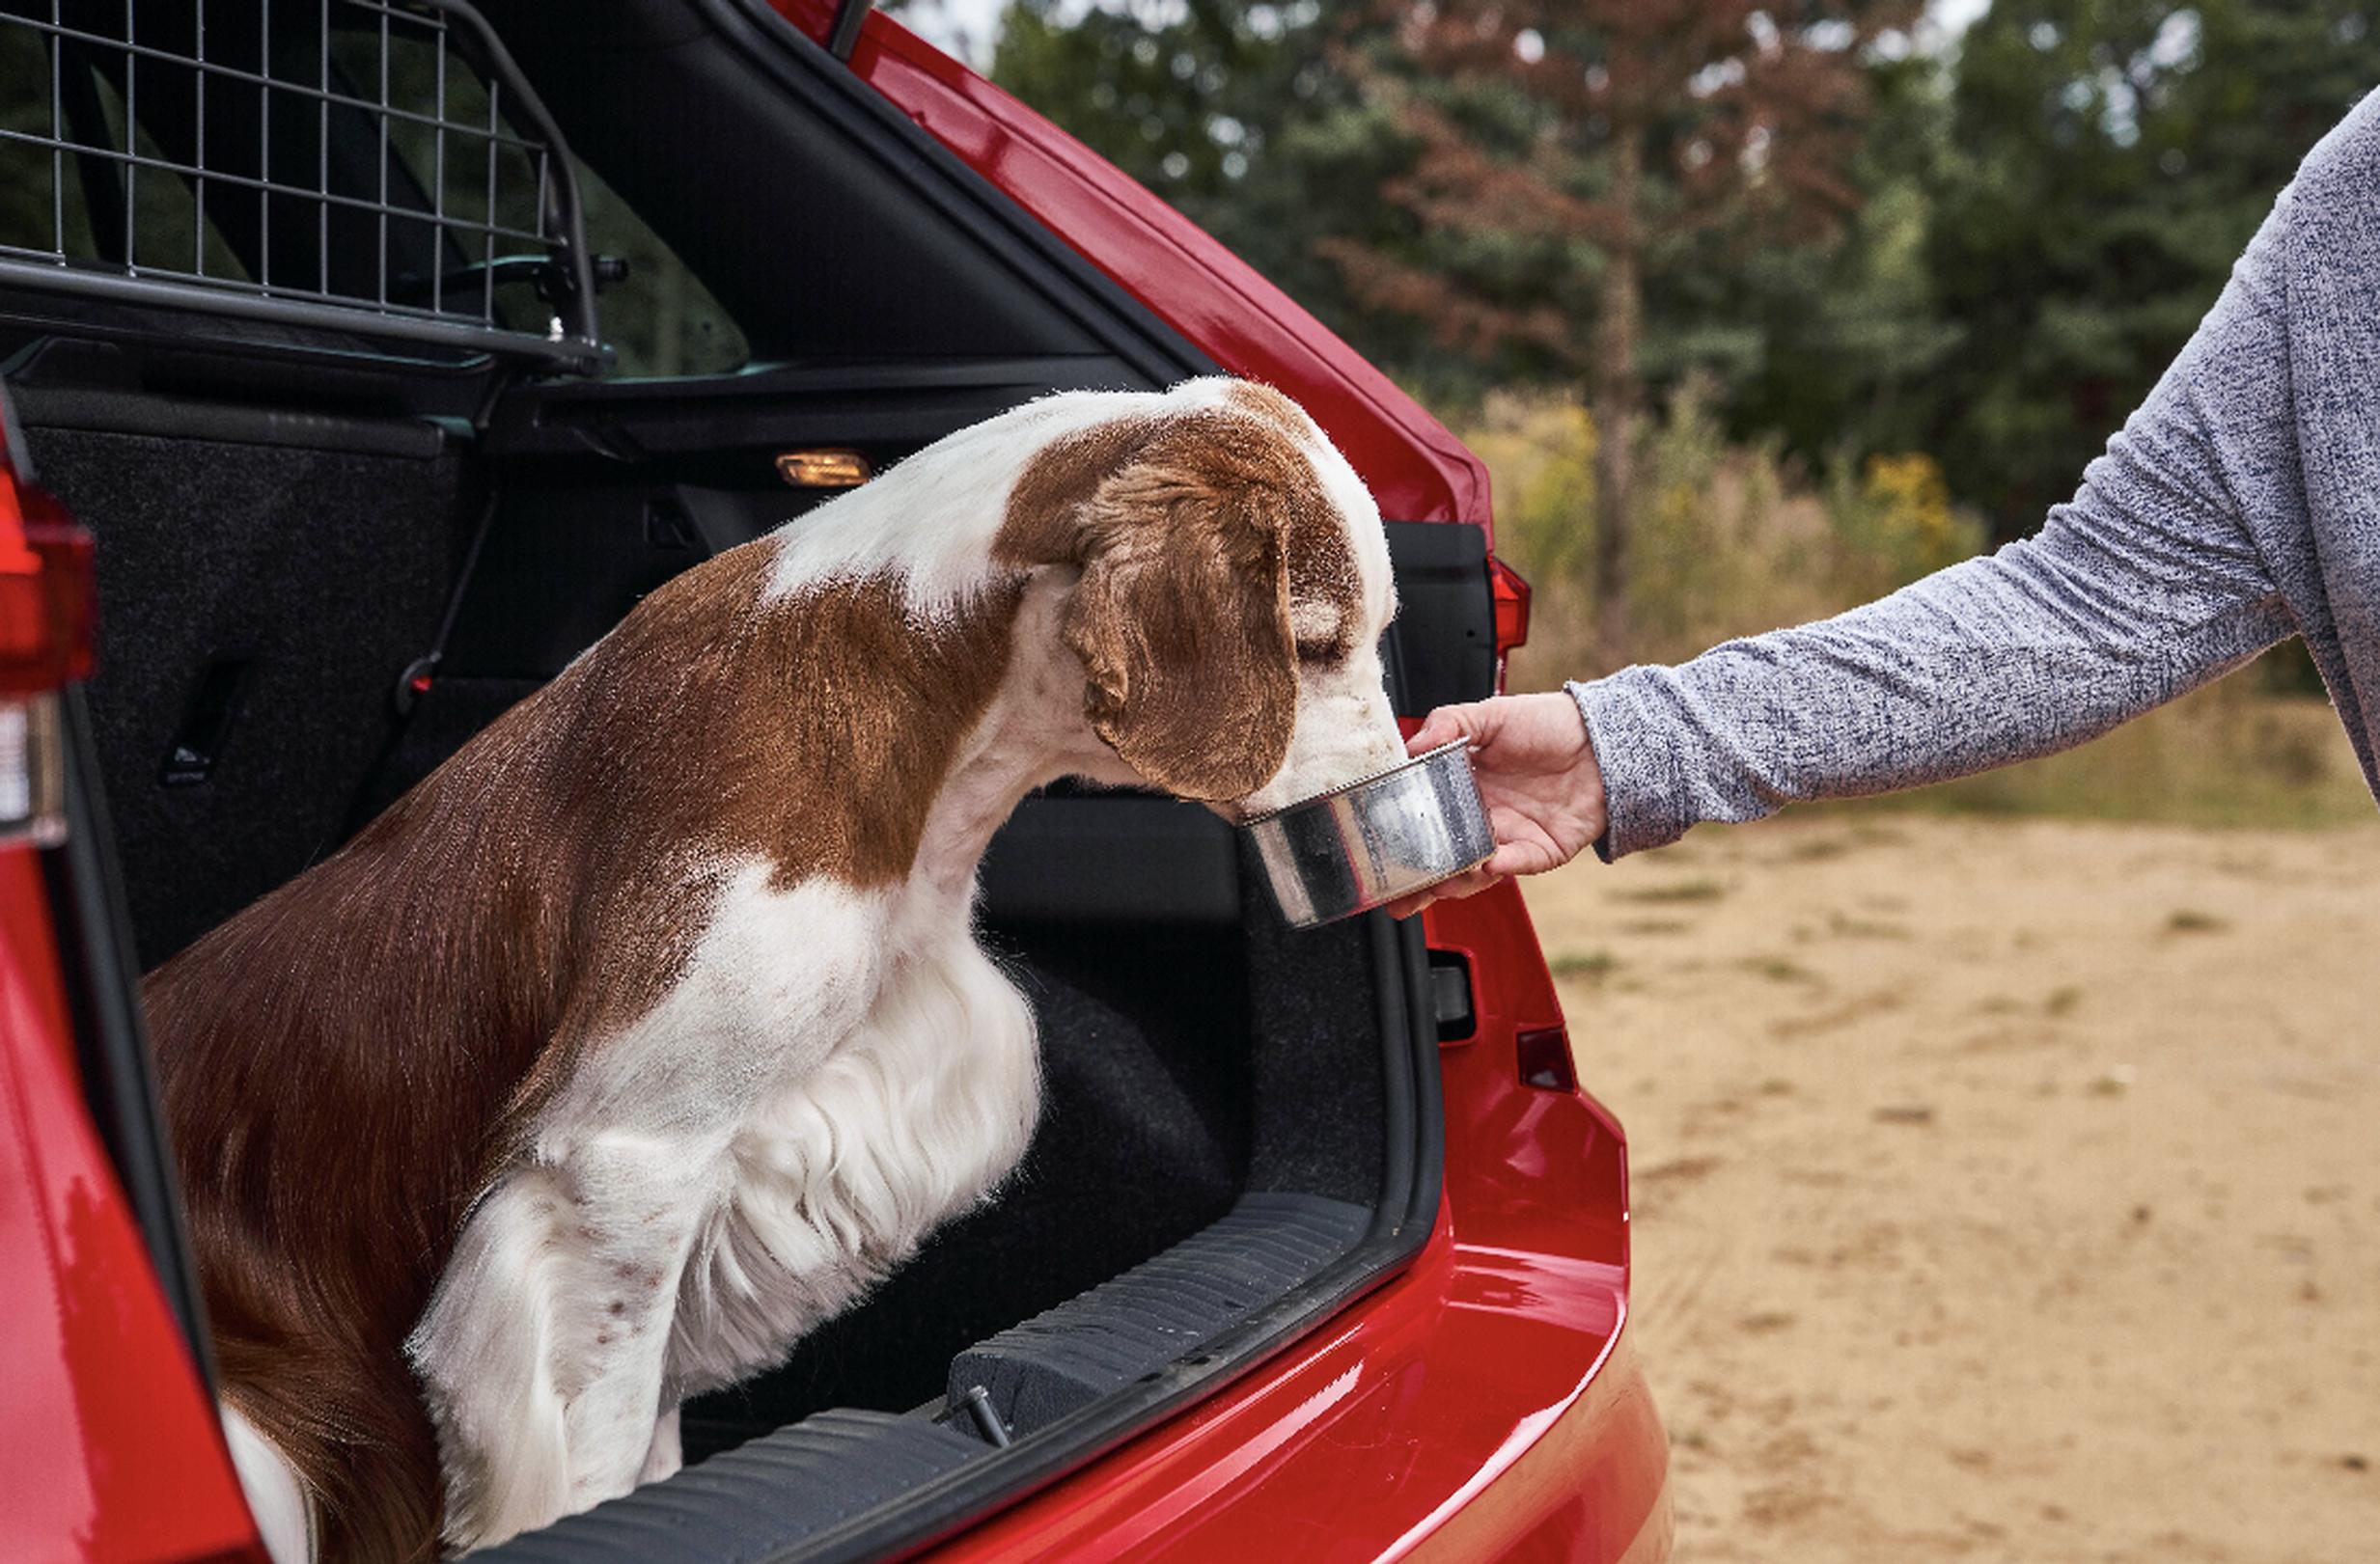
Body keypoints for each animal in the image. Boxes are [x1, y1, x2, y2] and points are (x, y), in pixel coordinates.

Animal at [144, 380, 1408, 1561]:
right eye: (1314, 642)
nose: (1387, 780)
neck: (932, 710)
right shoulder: (618, 1168)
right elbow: (599, 1451)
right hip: (265, 1441)